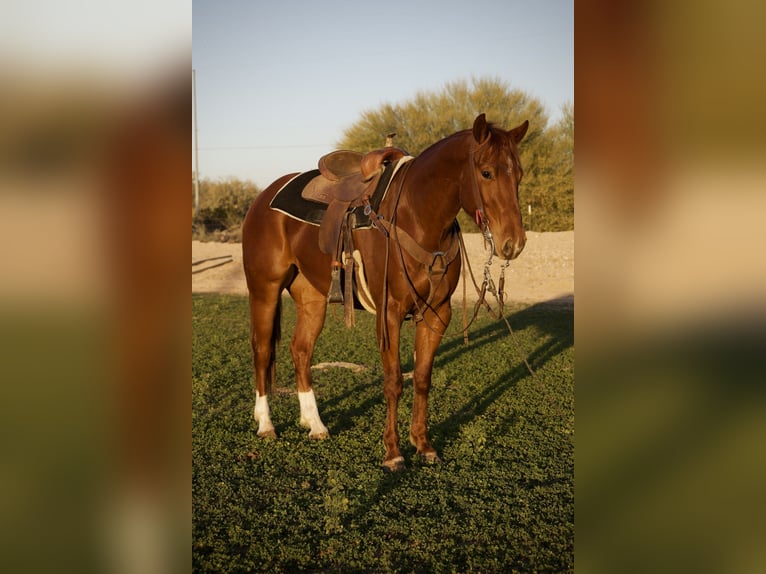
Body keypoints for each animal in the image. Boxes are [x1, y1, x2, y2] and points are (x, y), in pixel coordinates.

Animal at [242, 113, 529, 471]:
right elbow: (393, 382)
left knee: (301, 350)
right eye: (487, 172)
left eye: (519, 174)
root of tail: (262, 197)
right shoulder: (388, 312)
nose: (513, 243)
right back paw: (266, 424)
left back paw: (315, 424)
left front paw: (423, 445)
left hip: (312, 297)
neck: (416, 216)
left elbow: (422, 378)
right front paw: (393, 453)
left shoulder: (438, 313)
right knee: (262, 350)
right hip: (264, 289)